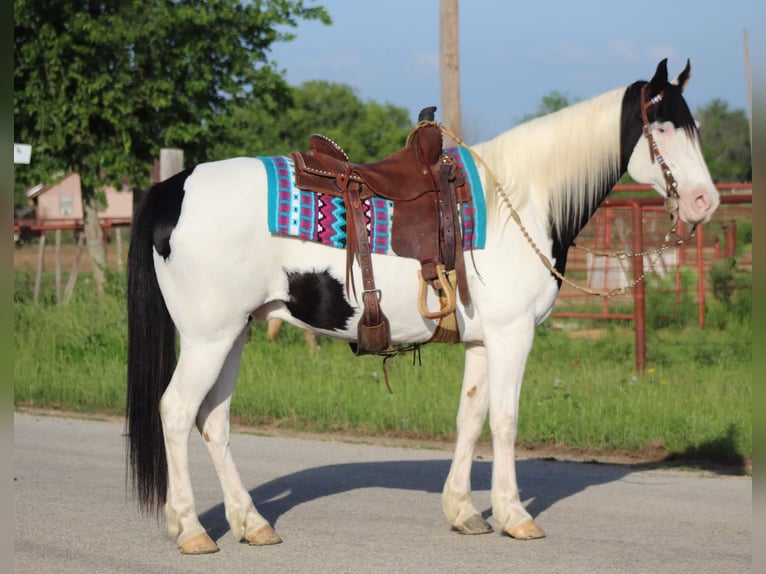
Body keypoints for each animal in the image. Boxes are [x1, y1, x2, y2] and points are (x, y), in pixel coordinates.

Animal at [126, 58, 720, 552]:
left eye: (694, 126)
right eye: (662, 127)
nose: (704, 202)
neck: (520, 201)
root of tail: (172, 189)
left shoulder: (482, 340)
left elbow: (471, 418)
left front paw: (464, 512)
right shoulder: (513, 334)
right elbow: (505, 420)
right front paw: (514, 515)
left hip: (235, 333)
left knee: (214, 421)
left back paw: (250, 523)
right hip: (209, 338)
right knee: (176, 412)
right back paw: (193, 529)